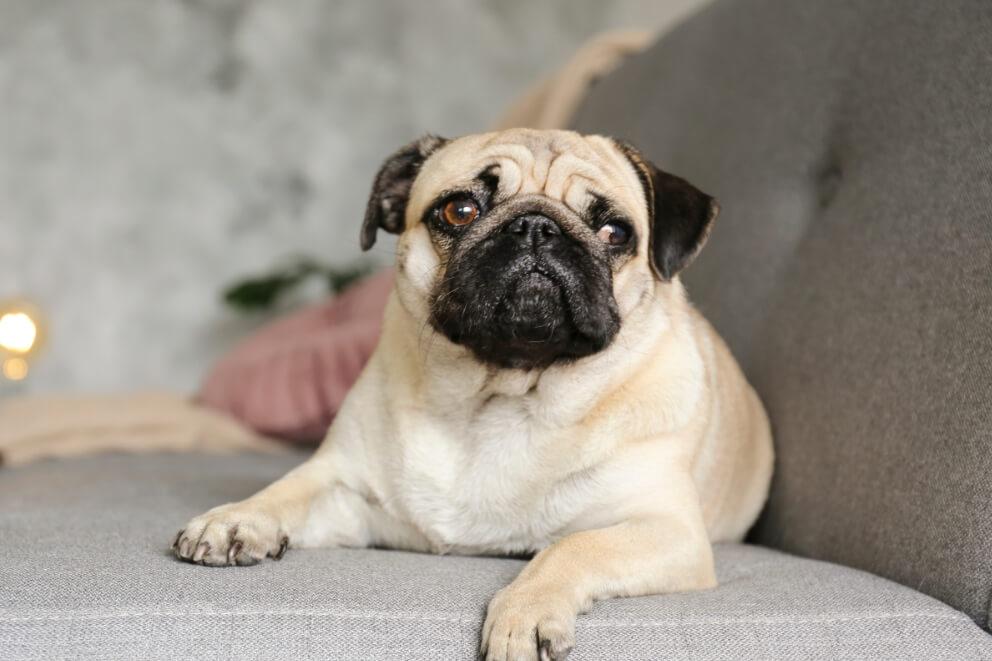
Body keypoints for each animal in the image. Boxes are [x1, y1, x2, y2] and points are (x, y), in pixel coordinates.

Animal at [172, 129, 776, 660]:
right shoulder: (346, 492)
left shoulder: (666, 530)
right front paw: (236, 519)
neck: (500, 396)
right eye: (460, 210)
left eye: (614, 233)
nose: (536, 227)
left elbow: (571, 546)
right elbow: (287, 489)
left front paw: (525, 613)